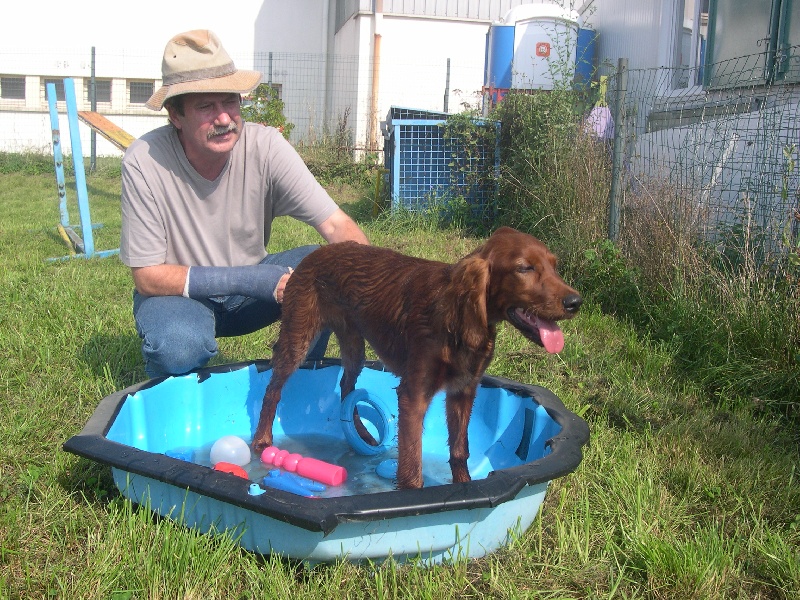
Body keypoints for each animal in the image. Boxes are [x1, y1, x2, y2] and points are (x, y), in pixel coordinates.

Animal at [255, 227, 580, 490]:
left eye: (554, 266)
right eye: (524, 268)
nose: (575, 302)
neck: (458, 316)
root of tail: (316, 252)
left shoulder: (463, 391)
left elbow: (459, 450)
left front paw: (465, 488)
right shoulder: (413, 395)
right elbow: (412, 466)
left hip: (354, 345)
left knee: (347, 388)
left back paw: (362, 434)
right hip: (299, 337)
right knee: (273, 388)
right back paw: (261, 440)